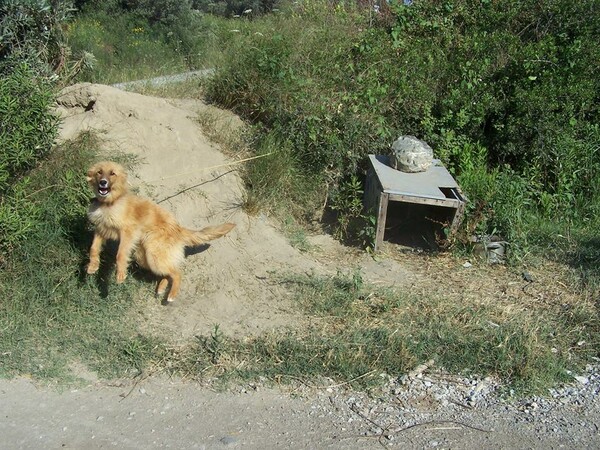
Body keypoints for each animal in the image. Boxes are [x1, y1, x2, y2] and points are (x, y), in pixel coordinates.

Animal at [85, 162, 236, 302]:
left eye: (112, 173)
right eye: (99, 172)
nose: (103, 182)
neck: (111, 201)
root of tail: (178, 228)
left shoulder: (128, 232)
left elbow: (120, 254)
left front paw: (120, 274)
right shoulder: (101, 229)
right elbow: (93, 249)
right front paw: (93, 266)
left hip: (154, 256)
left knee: (177, 273)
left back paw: (172, 295)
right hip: (144, 257)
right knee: (167, 273)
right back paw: (162, 288)